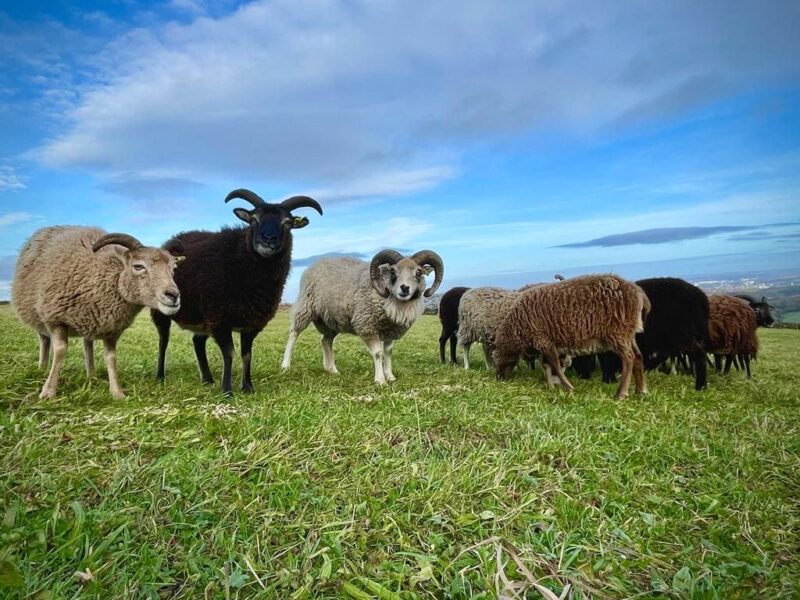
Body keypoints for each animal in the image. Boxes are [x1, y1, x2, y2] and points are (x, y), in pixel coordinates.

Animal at [12, 225, 181, 398]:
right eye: (138, 266)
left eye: (173, 269)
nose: (174, 295)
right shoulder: (55, 318)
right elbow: (60, 350)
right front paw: (48, 391)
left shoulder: (112, 329)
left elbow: (111, 358)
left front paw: (117, 392)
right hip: (38, 316)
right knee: (44, 340)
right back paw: (42, 368)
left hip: (89, 319)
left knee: (88, 344)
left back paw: (91, 375)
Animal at [152, 188, 322, 394]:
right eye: (254, 219)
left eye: (287, 222)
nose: (268, 239)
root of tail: (171, 241)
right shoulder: (220, 319)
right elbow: (229, 354)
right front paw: (227, 390)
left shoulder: (251, 323)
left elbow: (247, 355)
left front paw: (248, 387)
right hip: (163, 310)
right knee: (163, 341)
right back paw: (160, 376)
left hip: (203, 318)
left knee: (197, 342)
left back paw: (207, 379)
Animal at [280, 248, 444, 384]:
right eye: (393, 272)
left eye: (418, 273)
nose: (404, 288)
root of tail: (316, 263)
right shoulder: (367, 326)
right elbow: (378, 353)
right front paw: (380, 380)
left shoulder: (390, 331)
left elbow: (388, 352)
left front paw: (390, 376)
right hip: (305, 307)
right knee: (294, 334)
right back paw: (285, 365)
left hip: (331, 320)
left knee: (326, 341)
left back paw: (332, 369)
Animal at [494, 276, 648, 398]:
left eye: (497, 361)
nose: (499, 378)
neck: (515, 330)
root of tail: (638, 294)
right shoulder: (550, 345)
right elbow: (548, 366)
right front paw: (551, 387)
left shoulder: (544, 341)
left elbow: (555, 366)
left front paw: (568, 387)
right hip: (629, 334)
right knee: (638, 356)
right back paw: (640, 390)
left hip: (618, 333)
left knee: (629, 358)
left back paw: (621, 393)